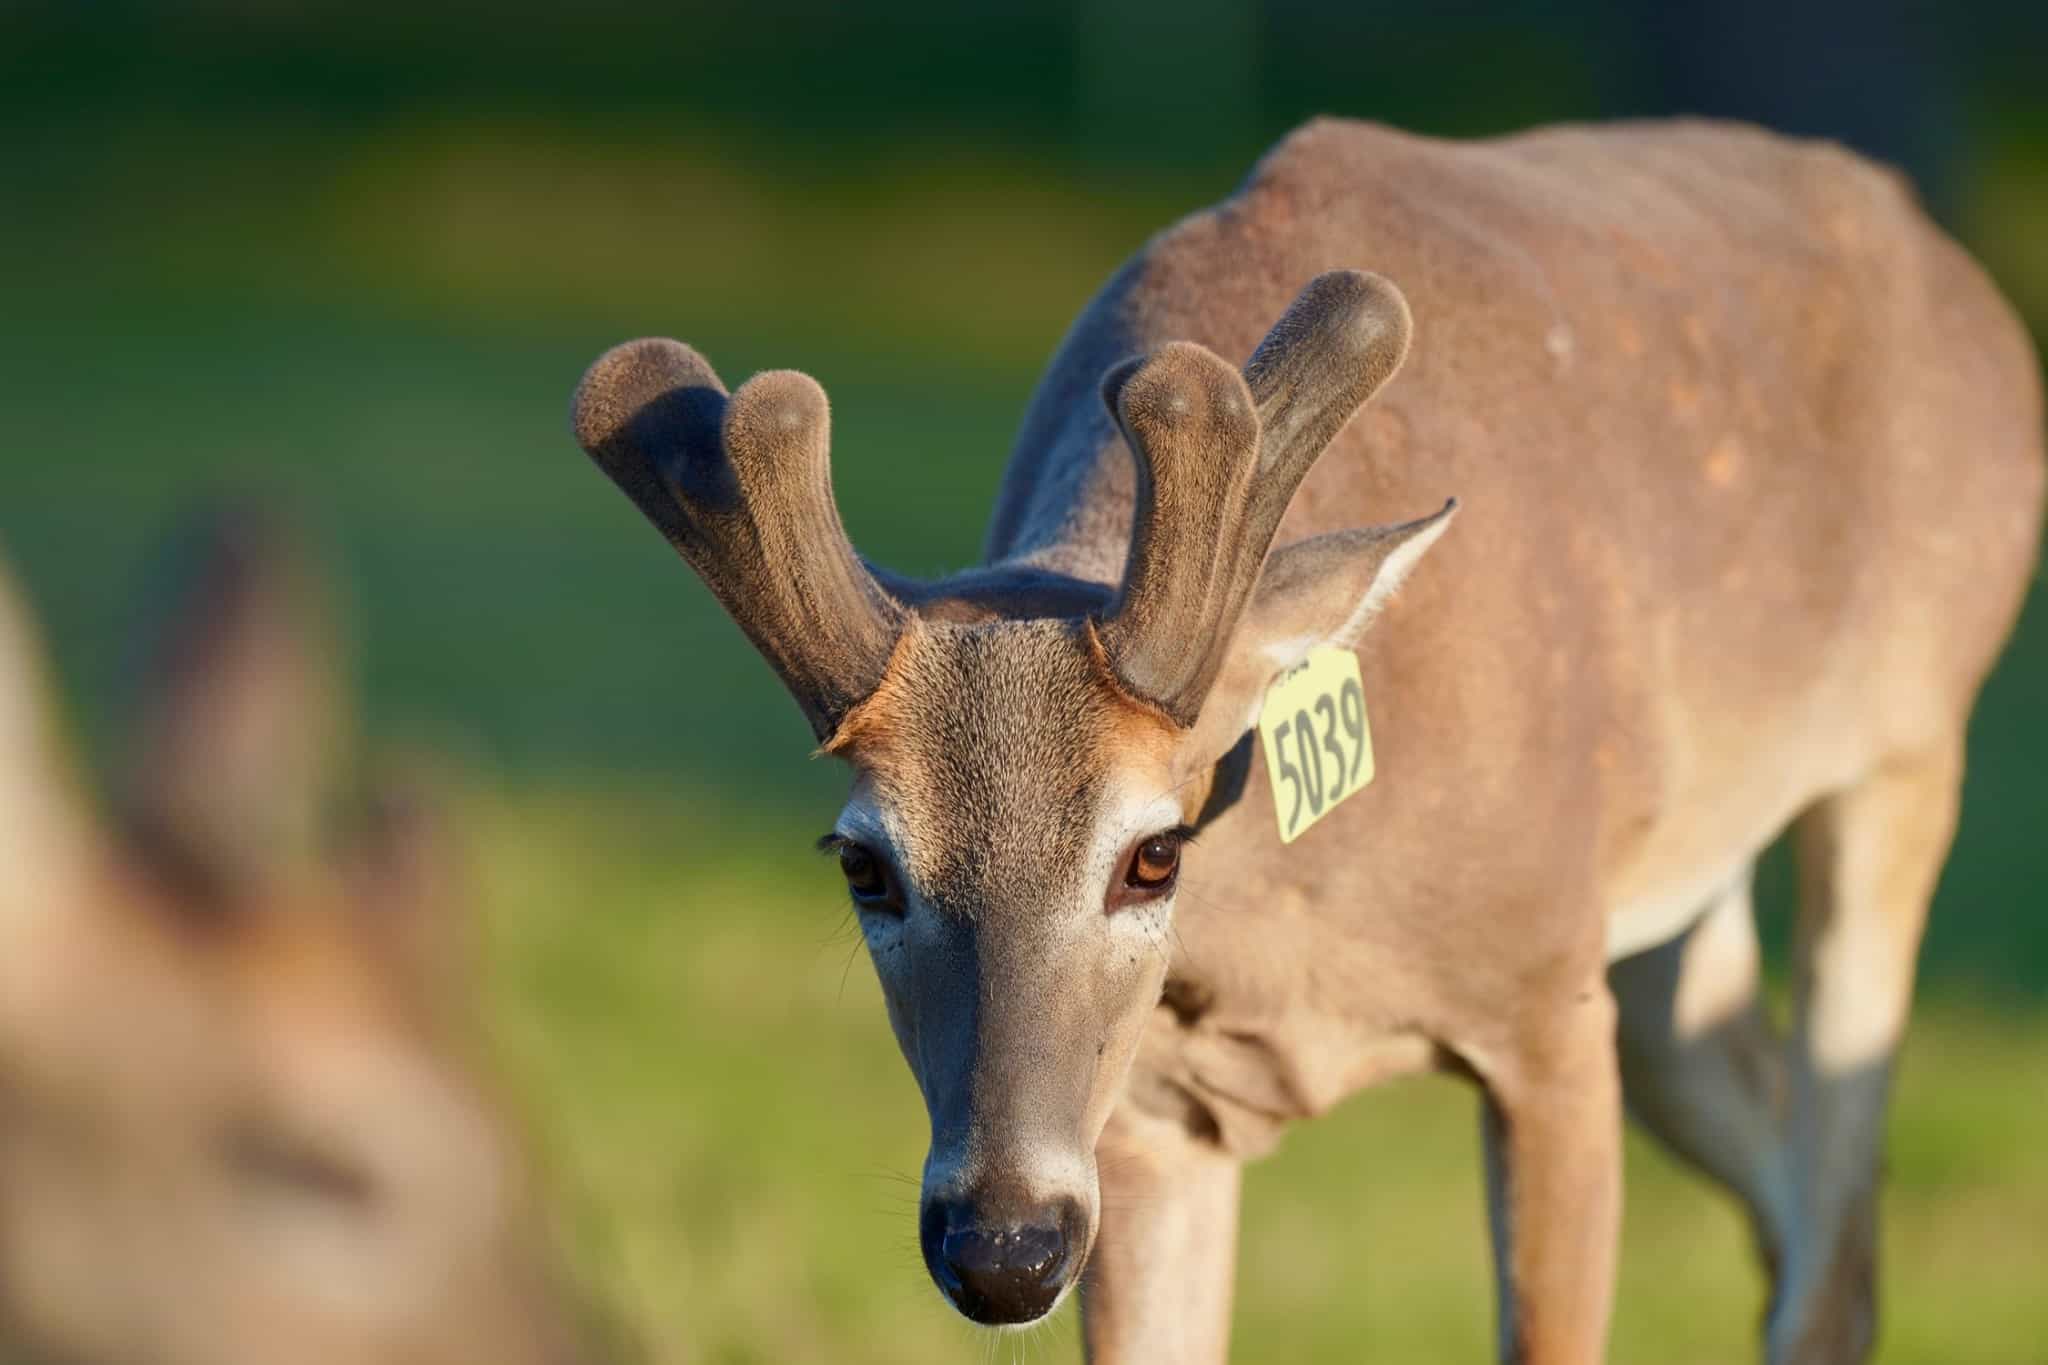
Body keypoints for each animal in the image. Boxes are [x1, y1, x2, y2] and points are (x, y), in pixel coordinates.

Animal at [569, 117, 2045, 1363]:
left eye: (1153, 855)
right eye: (864, 866)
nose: (1001, 1247)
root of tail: (1954, 271)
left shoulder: (1543, 1009)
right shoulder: (1149, 1117)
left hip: (1905, 746)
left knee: (1834, 1256)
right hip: (1663, 931)